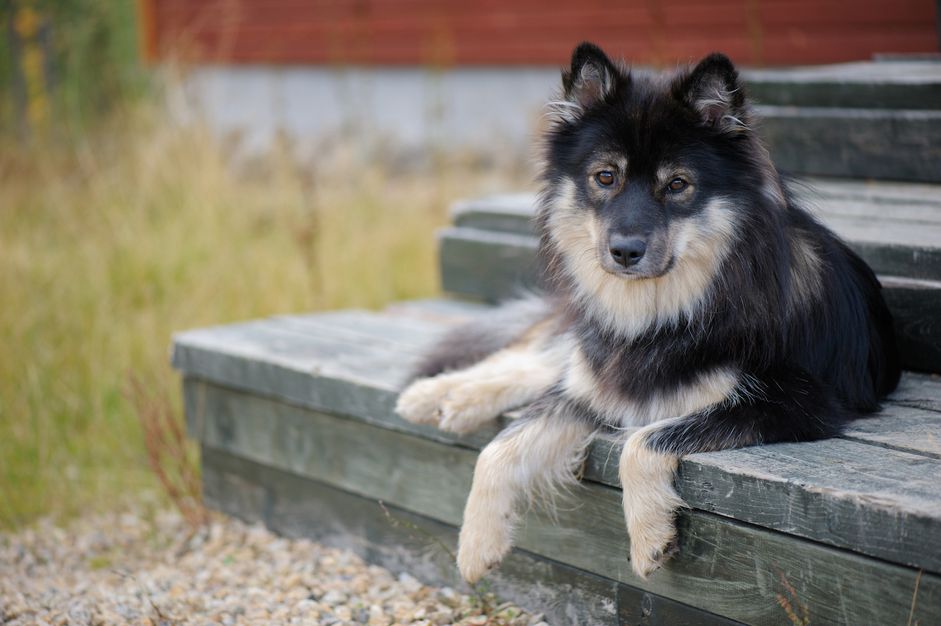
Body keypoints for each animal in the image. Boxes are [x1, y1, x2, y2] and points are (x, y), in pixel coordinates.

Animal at [392, 42, 900, 580]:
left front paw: (649, 536)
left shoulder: (797, 402)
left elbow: (643, 441)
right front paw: (476, 543)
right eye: (605, 177)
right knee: (528, 358)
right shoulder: (596, 386)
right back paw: (438, 394)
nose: (624, 251)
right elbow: (500, 447)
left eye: (676, 184)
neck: (665, 312)